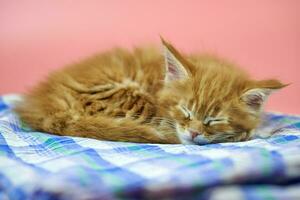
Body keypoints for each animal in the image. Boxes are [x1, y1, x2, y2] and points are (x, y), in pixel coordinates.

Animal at [14, 38, 286, 145]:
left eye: (214, 120)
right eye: (185, 110)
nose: (194, 133)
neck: (160, 79)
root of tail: (43, 105)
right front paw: (252, 131)